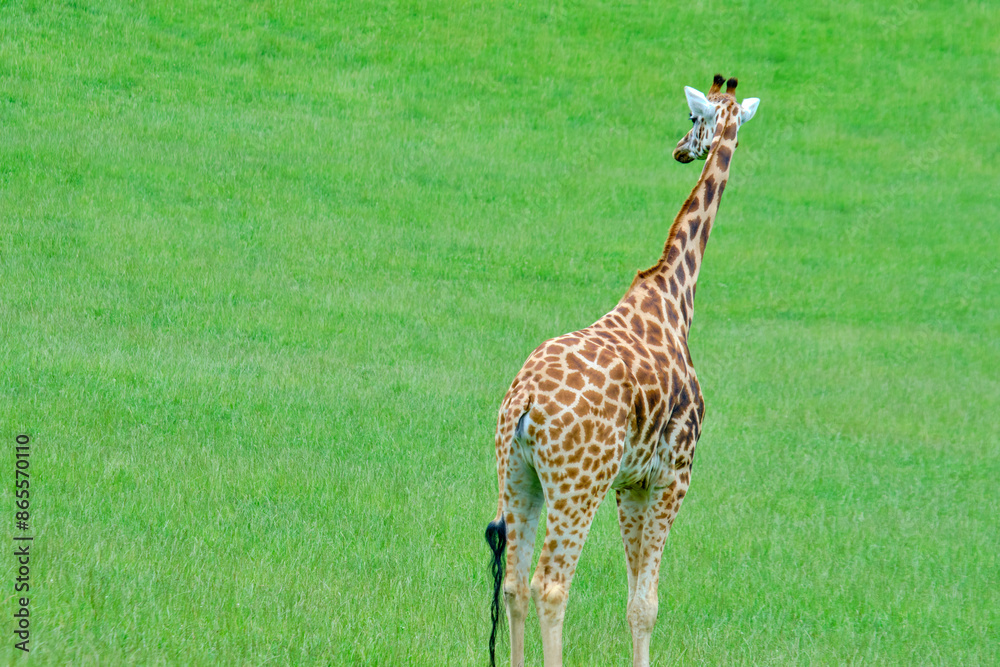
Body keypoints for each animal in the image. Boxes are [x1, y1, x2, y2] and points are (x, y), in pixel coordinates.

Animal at [484, 74, 760, 667]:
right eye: (695, 114)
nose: (681, 148)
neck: (676, 297)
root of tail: (523, 404)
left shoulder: (630, 483)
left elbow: (634, 601)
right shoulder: (674, 473)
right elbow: (647, 603)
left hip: (516, 472)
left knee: (514, 581)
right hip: (577, 482)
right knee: (550, 585)